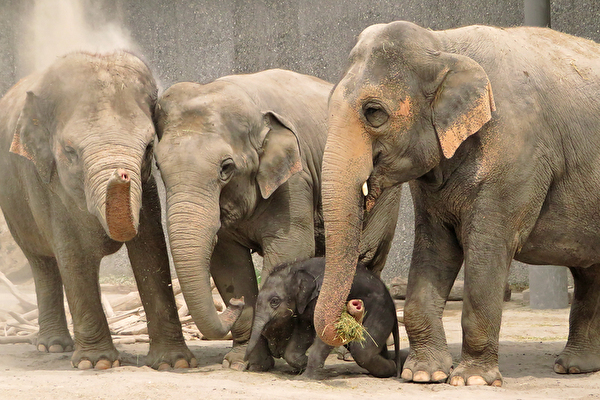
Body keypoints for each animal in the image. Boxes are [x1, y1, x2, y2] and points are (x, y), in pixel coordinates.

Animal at [0, 51, 195, 370]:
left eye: (149, 147)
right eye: (70, 152)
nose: (122, 174)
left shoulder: (147, 188)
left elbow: (151, 249)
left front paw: (174, 363)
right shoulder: (44, 183)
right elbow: (73, 255)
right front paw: (97, 363)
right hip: (15, 209)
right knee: (42, 263)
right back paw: (53, 346)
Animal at [244, 258, 404, 376]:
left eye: (274, 301)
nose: (245, 364)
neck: (297, 268)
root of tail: (392, 302)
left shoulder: (323, 298)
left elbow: (327, 333)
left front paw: (305, 377)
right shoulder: (306, 305)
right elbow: (304, 331)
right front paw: (304, 363)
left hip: (380, 313)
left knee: (362, 350)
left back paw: (392, 368)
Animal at [316, 20, 600, 386]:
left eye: (373, 112)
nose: (354, 306)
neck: (443, 45)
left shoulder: (515, 158)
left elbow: (487, 249)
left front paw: (472, 380)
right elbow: (435, 248)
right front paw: (424, 375)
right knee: (589, 272)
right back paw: (575, 366)